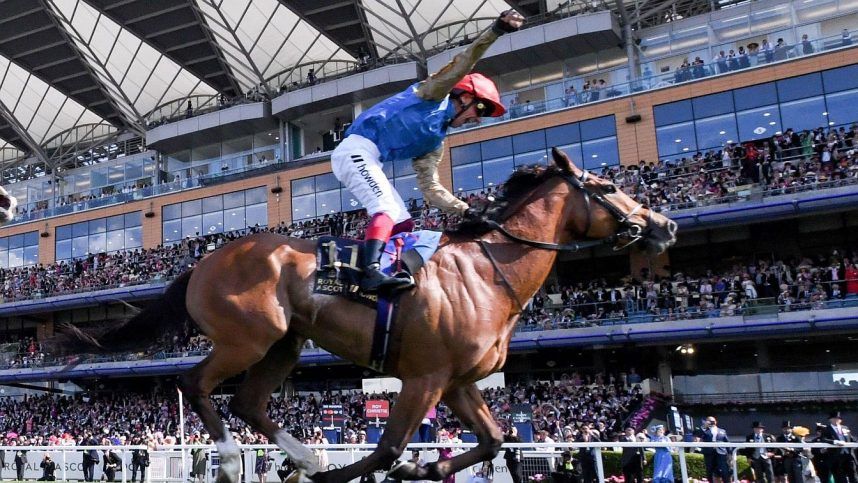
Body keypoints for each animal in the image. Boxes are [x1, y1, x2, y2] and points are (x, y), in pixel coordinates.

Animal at [56, 147, 680, 483]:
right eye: (608, 185)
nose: (666, 225)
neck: (487, 269)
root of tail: (204, 260)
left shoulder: (456, 382)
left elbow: (494, 440)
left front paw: (424, 469)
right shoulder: (425, 377)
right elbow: (387, 447)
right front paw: (352, 472)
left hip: (285, 342)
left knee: (248, 402)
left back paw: (301, 454)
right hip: (247, 338)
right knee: (196, 384)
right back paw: (236, 458)